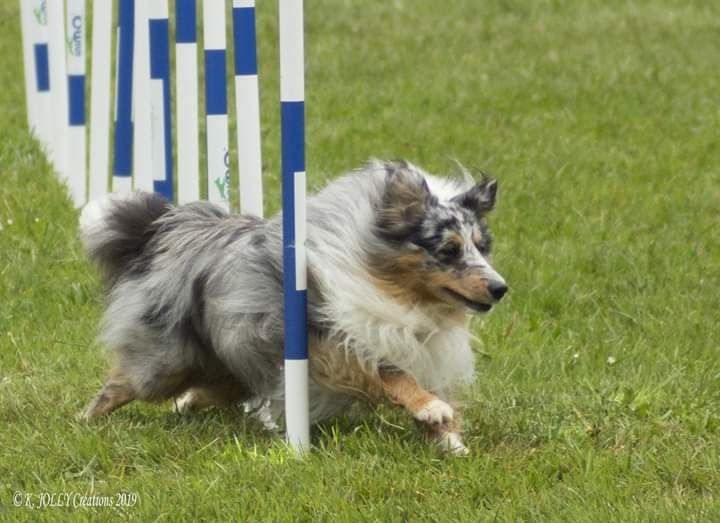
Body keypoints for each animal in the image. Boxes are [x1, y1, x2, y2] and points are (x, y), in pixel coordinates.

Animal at [79, 159, 506, 454]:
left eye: (482, 247)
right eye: (449, 249)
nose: (500, 288)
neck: (403, 294)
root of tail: (168, 232)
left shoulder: (422, 349)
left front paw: (449, 439)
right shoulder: (334, 340)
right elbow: (392, 374)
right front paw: (430, 408)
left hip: (231, 367)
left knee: (207, 391)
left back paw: (187, 405)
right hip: (168, 362)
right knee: (123, 384)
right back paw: (84, 420)